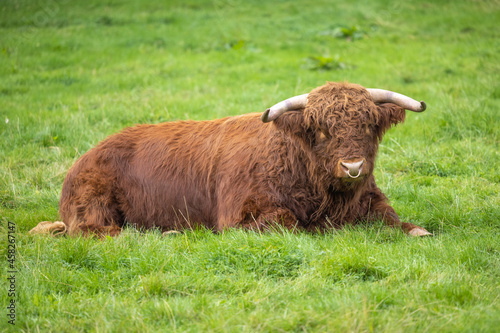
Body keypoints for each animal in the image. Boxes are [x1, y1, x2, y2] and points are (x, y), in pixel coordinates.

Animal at [30, 81, 434, 236]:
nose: (353, 167)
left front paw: (417, 230)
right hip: (94, 207)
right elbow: (289, 224)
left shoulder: (370, 201)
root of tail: (87, 155)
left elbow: (399, 222)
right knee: (104, 233)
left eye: (367, 125)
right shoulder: (241, 216)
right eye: (320, 130)